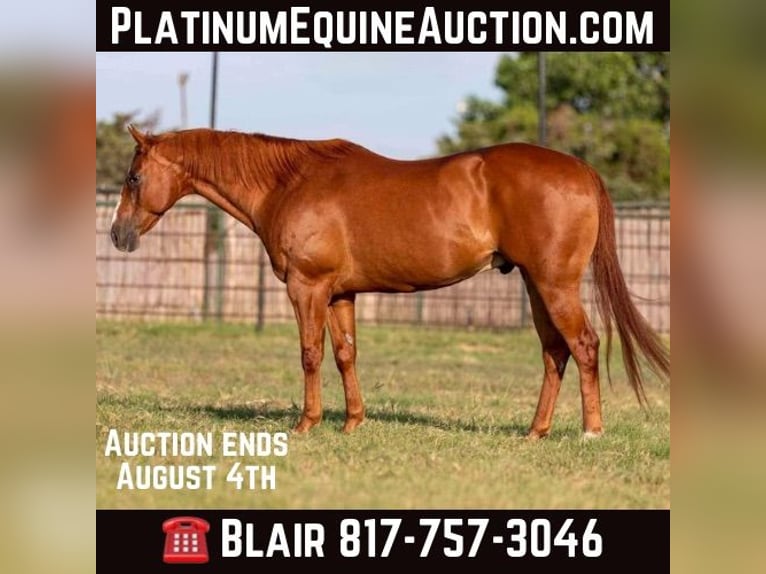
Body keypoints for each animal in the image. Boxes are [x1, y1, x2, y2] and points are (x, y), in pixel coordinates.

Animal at [110, 125, 670, 439]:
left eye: (134, 177)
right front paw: (353, 422)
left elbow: (310, 354)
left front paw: (307, 423)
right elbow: (345, 354)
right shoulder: (339, 293)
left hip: (555, 285)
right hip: (536, 286)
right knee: (555, 352)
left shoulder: (307, 288)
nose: (118, 234)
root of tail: (581, 170)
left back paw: (590, 432)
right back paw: (536, 432)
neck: (288, 183)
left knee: (584, 345)